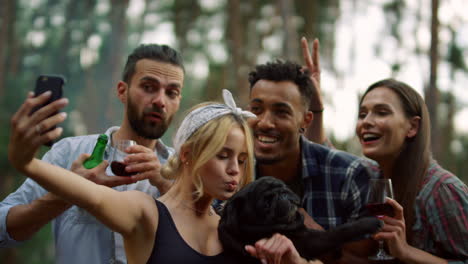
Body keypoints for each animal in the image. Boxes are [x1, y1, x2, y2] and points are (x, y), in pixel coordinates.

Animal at [218, 176, 382, 260]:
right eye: (266, 203)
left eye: (282, 185)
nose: (283, 193)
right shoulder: (310, 241)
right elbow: (339, 231)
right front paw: (369, 223)